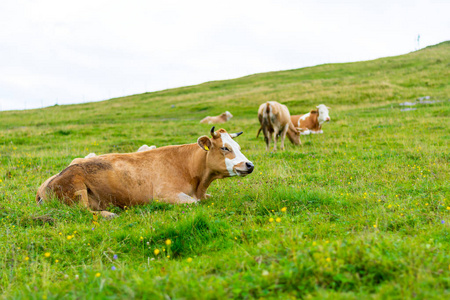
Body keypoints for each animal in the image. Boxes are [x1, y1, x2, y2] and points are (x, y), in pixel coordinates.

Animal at [36, 126, 253, 218]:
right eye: (225, 148)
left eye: (238, 146)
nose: (249, 165)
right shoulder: (165, 196)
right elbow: (194, 203)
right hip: (76, 188)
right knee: (81, 211)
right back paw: (109, 213)